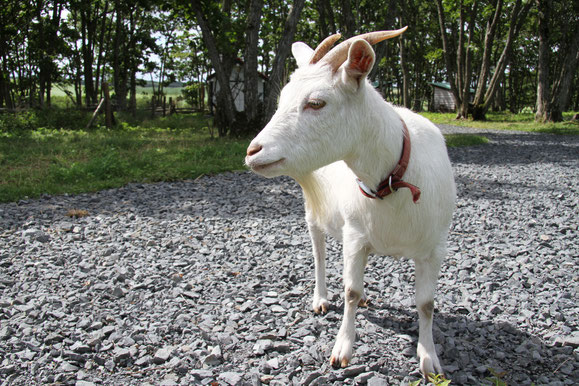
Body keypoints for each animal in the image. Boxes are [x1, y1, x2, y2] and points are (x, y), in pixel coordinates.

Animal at [244, 28, 454, 378]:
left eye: (316, 102)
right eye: (282, 99)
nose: (253, 151)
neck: (393, 181)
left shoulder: (434, 248)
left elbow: (426, 304)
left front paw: (429, 360)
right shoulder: (355, 235)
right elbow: (350, 291)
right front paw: (342, 350)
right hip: (315, 212)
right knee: (318, 253)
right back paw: (320, 298)